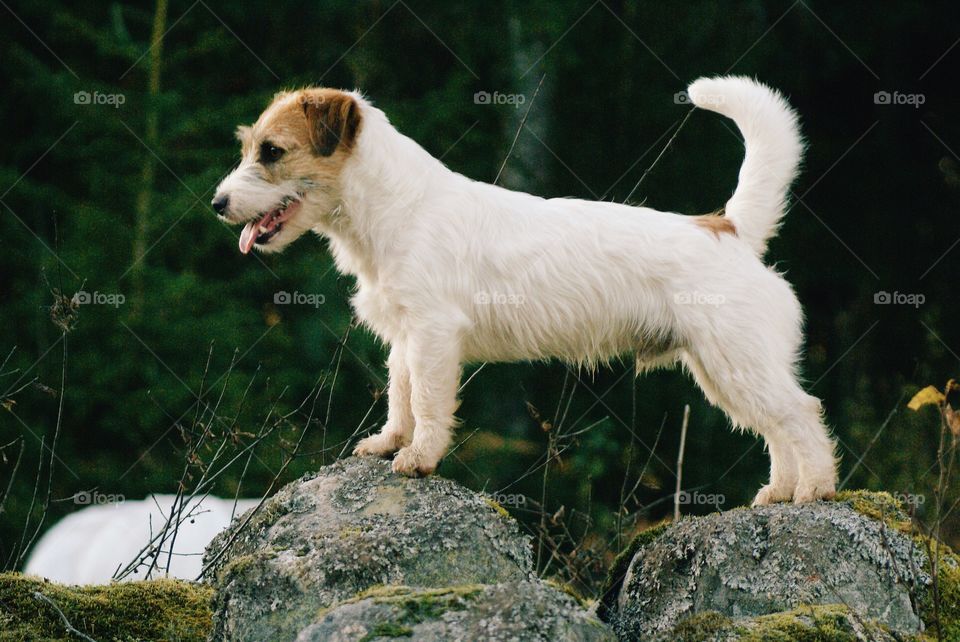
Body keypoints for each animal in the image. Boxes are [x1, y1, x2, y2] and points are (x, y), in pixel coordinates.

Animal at [212, 76, 840, 504]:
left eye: (272, 151)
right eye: (250, 146)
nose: (217, 204)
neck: (396, 206)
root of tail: (729, 227)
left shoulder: (434, 336)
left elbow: (428, 402)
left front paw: (419, 458)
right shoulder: (406, 338)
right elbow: (400, 394)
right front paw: (390, 442)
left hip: (738, 363)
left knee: (801, 414)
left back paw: (815, 490)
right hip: (727, 371)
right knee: (776, 427)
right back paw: (779, 493)